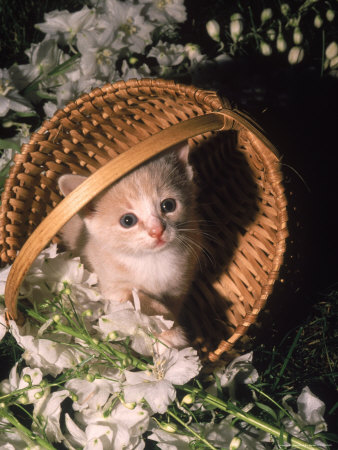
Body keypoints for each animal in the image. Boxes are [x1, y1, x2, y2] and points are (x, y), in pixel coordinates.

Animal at [56, 142, 202, 346]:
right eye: (127, 220)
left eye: (169, 205)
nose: (157, 230)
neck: (153, 260)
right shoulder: (112, 287)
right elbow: (141, 300)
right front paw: (171, 332)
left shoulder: (179, 284)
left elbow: (174, 304)